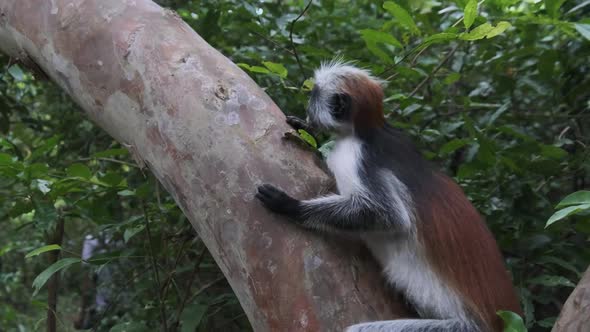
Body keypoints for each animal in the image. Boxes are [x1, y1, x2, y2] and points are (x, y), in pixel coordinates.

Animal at [256, 61, 524, 330]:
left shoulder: (357, 156)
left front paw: (291, 205)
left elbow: (388, 216)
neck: (368, 131)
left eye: (313, 96)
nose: (308, 110)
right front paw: (303, 129)